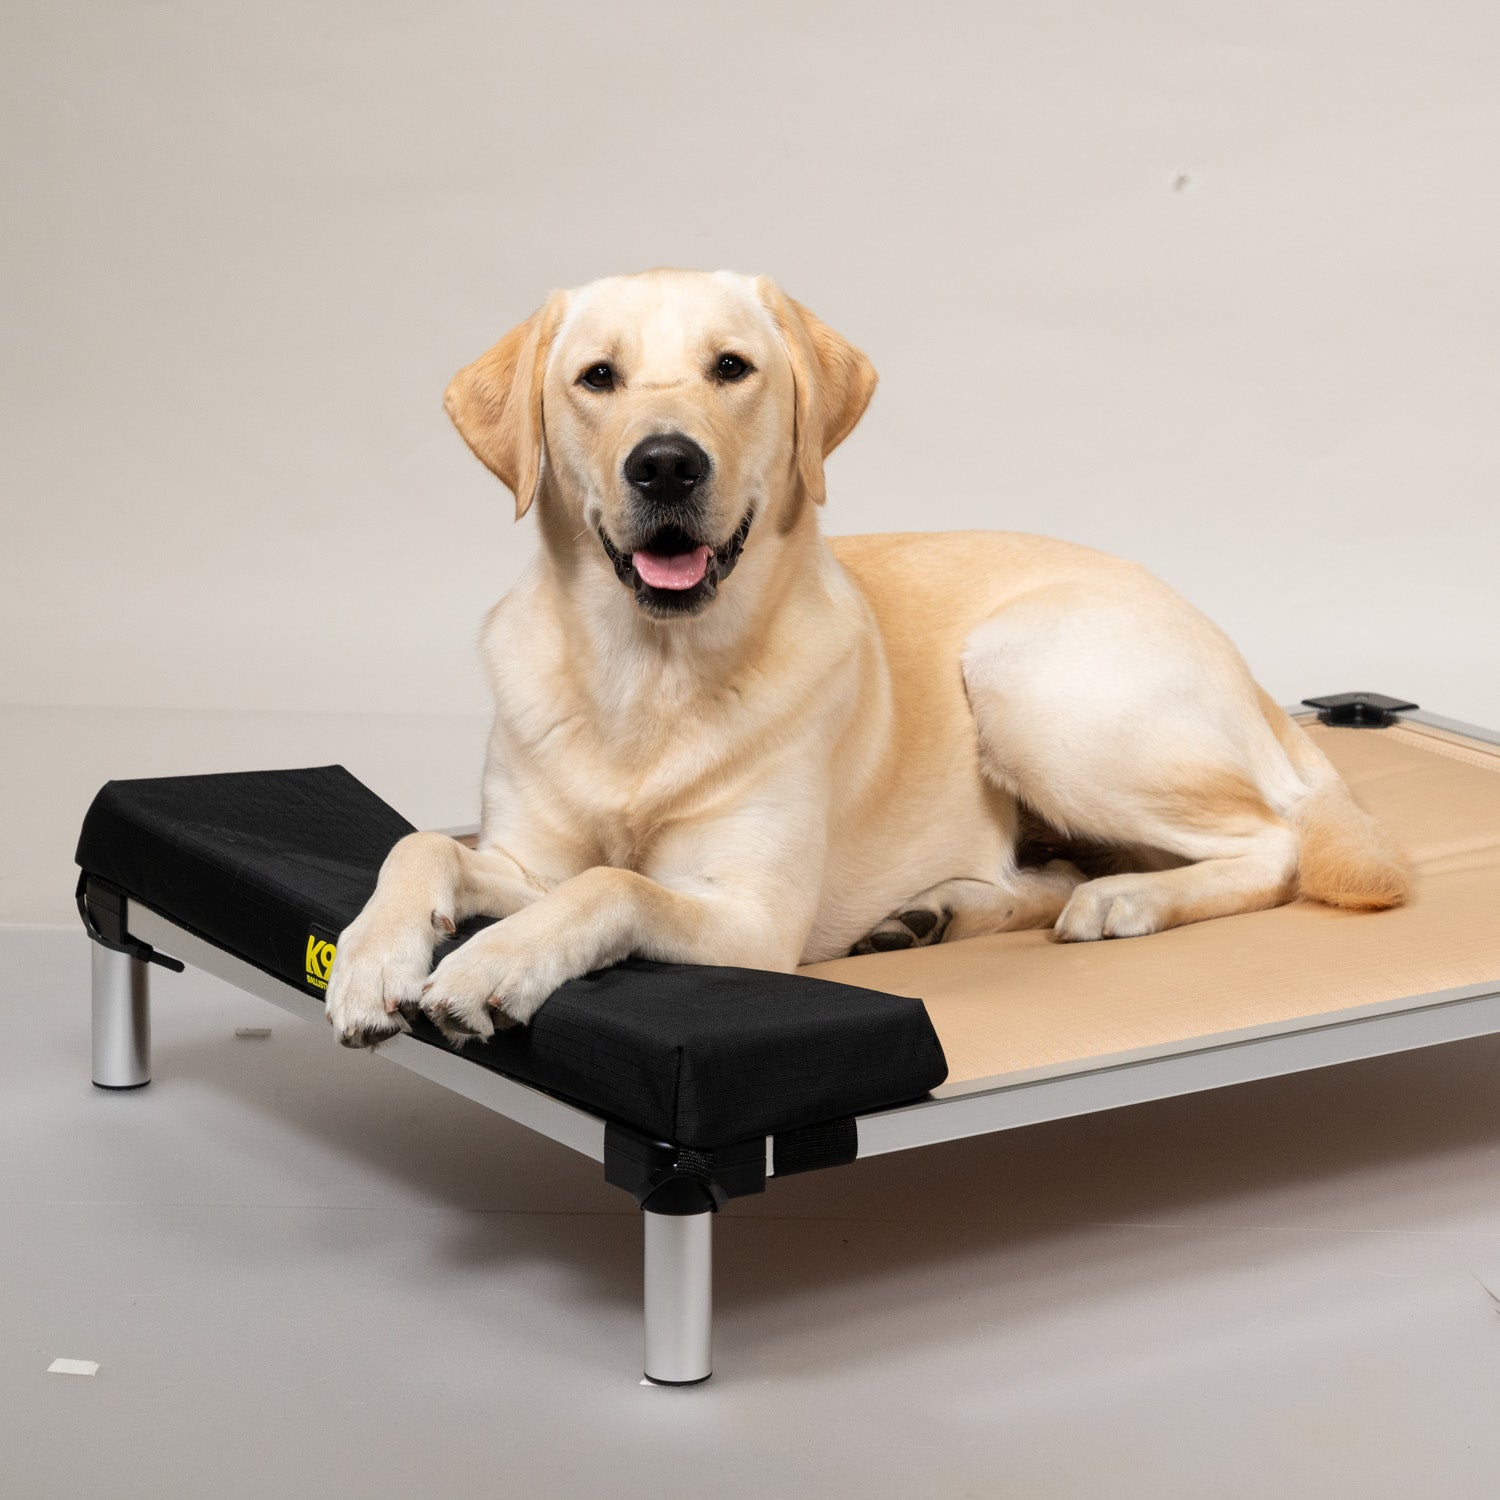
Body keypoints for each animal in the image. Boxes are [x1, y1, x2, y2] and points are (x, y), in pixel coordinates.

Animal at [325, 267, 1408, 1049]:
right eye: (597, 377)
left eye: (732, 367)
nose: (667, 464)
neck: (647, 673)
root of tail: (1244, 666)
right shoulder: (522, 858)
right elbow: (422, 846)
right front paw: (373, 960)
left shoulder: (753, 920)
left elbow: (614, 887)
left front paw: (491, 965)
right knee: (1052, 868)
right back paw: (931, 915)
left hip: (1028, 680)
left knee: (1271, 844)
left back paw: (1123, 900)